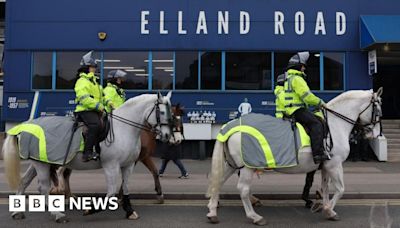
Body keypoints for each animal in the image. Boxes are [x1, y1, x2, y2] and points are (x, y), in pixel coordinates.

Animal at [50, 104, 186, 204]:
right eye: (172, 118)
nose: (178, 140)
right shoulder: (135, 159)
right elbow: (126, 179)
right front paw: (121, 197)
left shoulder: (144, 157)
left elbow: (155, 171)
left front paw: (159, 194)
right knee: (60, 171)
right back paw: (59, 190)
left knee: (65, 174)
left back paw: (68, 195)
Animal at [208, 89, 382, 224]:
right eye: (378, 111)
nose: (374, 134)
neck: (334, 124)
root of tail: (231, 126)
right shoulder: (335, 164)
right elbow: (340, 189)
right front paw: (327, 210)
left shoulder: (326, 165)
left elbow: (325, 188)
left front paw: (325, 208)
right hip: (247, 167)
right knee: (243, 189)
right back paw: (254, 217)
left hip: (232, 164)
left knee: (219, 181)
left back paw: (212, 212)